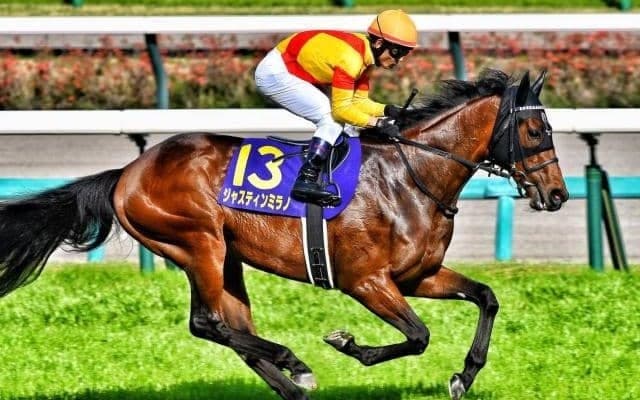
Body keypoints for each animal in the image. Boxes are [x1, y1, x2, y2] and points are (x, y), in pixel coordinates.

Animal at [0, 69, 568, 400]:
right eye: (535, 130)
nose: (558, 195)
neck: (412, 177)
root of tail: (128, 172)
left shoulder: (418, 276)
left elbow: (486, 298)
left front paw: (463, 376)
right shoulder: (366, 281)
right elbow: (418, 335)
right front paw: (348, 345)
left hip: (224, 258)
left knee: (231, 329)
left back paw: (294, 383)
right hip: (199, 243)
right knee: (207, 324)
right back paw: (294, 362)